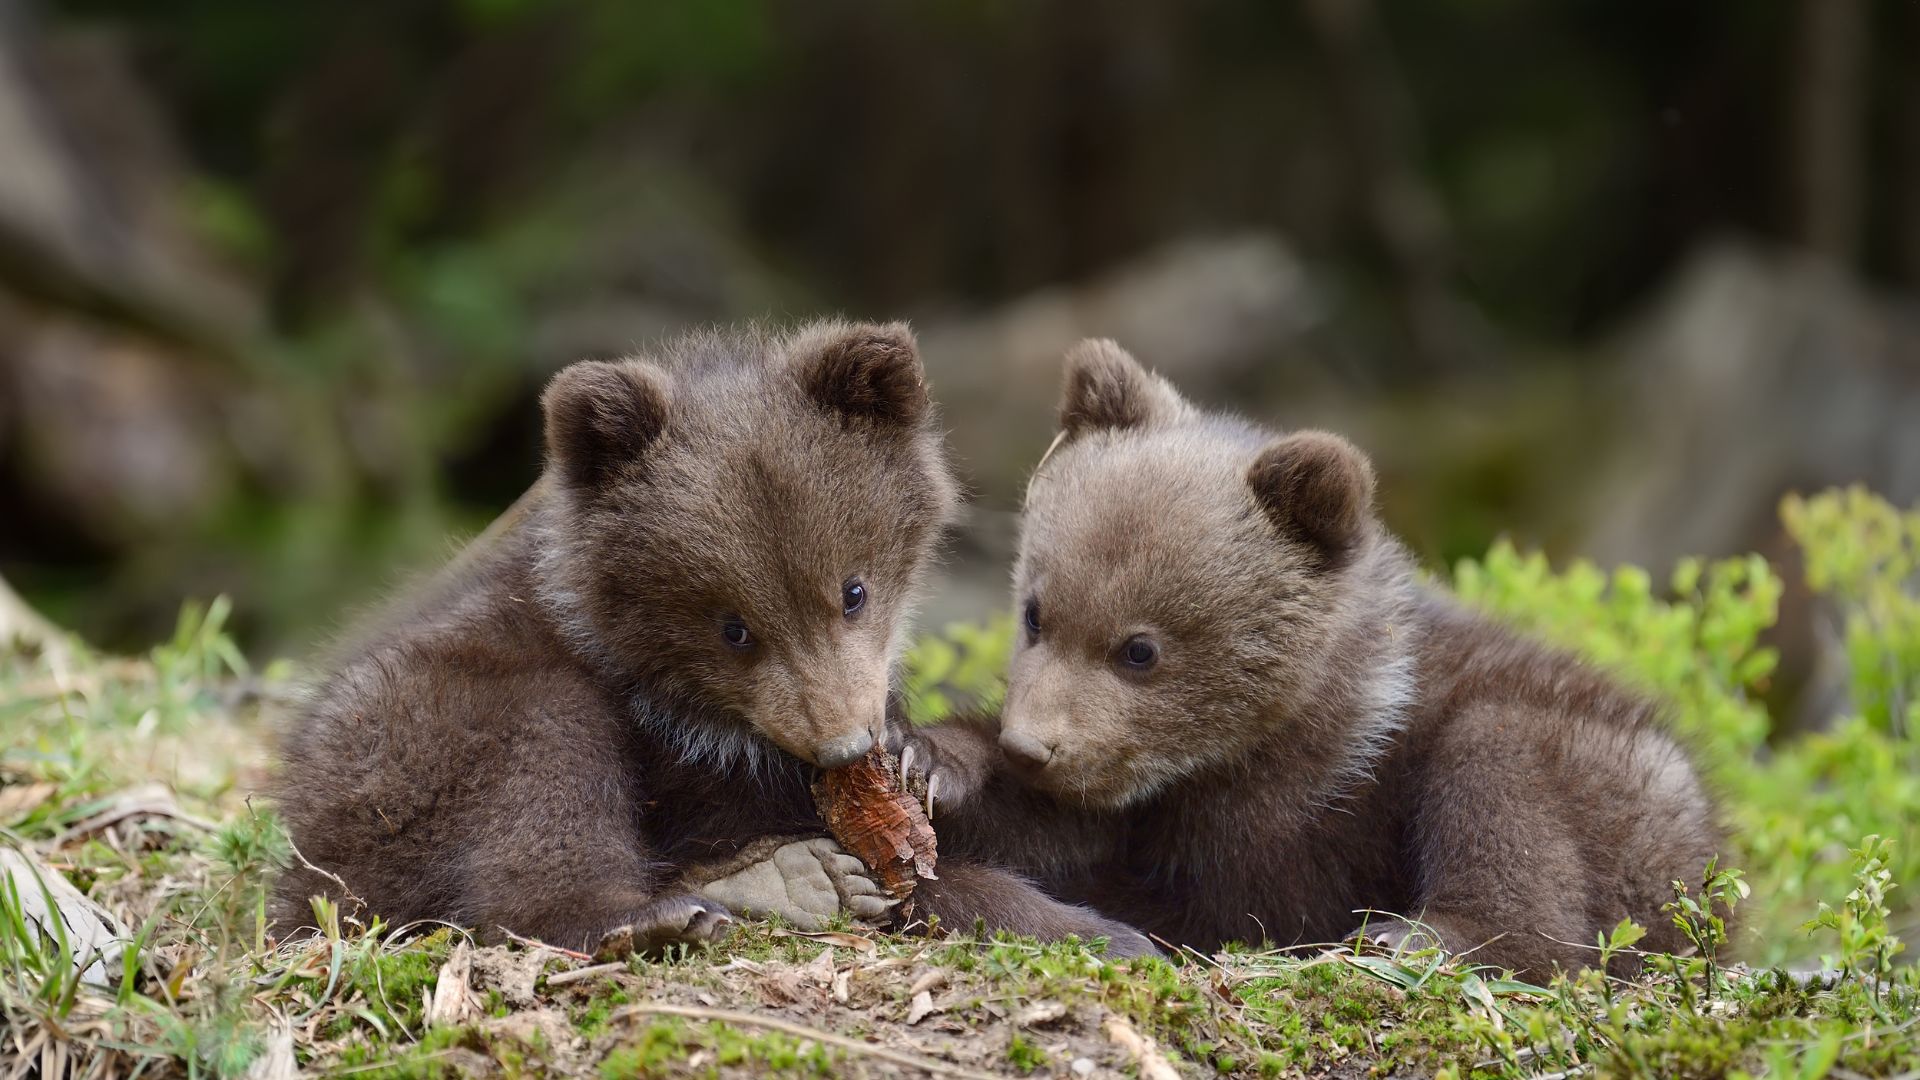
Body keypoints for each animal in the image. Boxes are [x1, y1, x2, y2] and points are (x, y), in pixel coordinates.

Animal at [270, 321, 1154, 956]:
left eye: (853, 591)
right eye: (734, 627)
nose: (842, 743)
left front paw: (925, 761)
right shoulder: (694, 765)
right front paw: (1108, 933)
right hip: (411, 746)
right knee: (539, 779)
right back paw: (690, 907)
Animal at [903, 338, 1727, 979]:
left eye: (1140, 649)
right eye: (1035, 612)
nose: (1032, 746)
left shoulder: (1301, 809)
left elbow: (1209, 895)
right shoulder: (1147, 794)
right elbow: (1061, 828)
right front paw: (931, 761)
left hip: (1612, 789)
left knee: (1508, 781)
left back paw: (1412, 936)